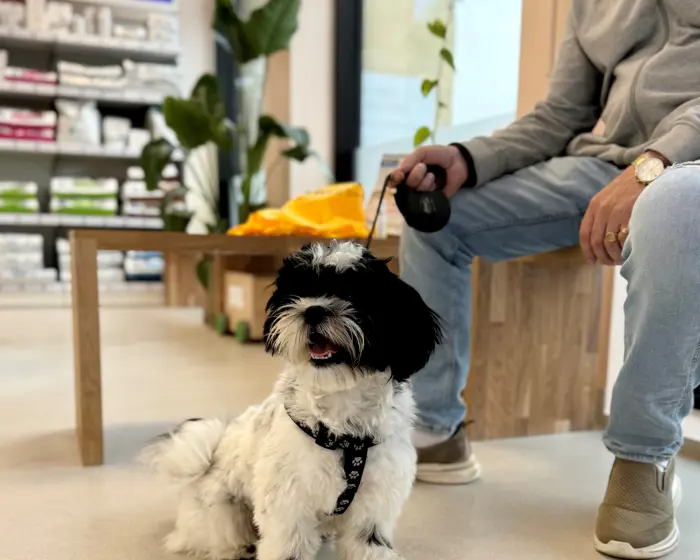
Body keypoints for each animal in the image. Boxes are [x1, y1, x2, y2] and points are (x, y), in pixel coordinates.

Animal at [141, 241, 443, 560]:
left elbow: (368, 544)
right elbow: (287, 548)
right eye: (297, 294)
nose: (313, 310)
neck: (343, 432)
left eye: (353, 295)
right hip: (223, 512)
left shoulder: (373, 506)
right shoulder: (288, 507)